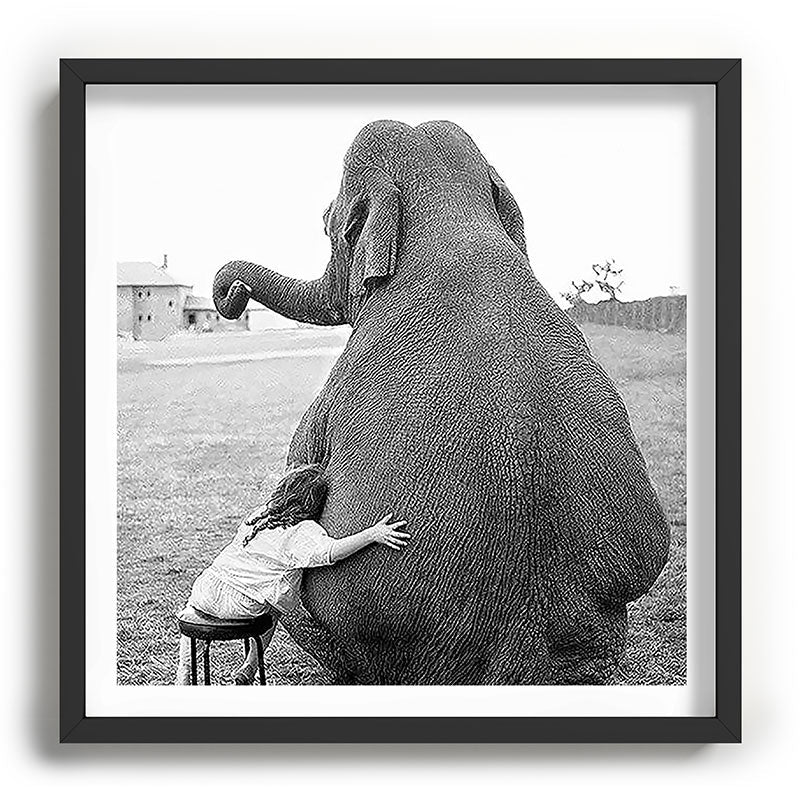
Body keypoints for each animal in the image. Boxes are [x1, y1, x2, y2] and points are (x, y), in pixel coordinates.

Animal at [213, 120, 670, 685]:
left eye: (326, 222)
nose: (232, 292)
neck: (451, 216)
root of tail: (520, 658)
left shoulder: (333, 390)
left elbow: (302, 465)